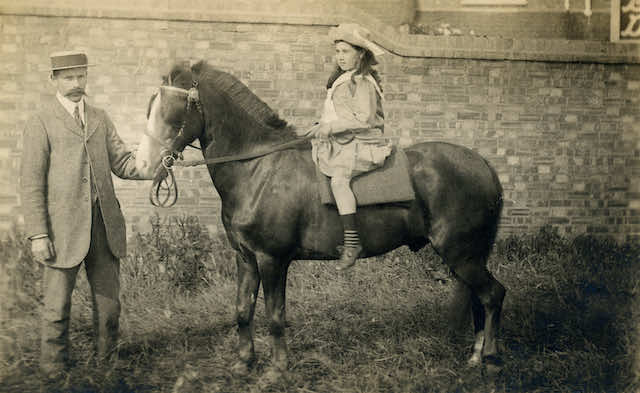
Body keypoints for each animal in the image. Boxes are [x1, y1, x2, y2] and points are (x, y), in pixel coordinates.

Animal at [135, 60, 504, 376]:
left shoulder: (272, 260)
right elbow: (242, 310)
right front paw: (244, 363)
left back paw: (491, 359)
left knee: (493, 295)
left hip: (461, 255)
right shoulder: (246, 258)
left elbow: (275, 315)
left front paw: (277, 370)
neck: (258, 168)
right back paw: (475, 356)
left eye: (171, 111)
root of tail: (483, 164)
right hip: (468, 257)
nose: (144, 165)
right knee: (479, 297)